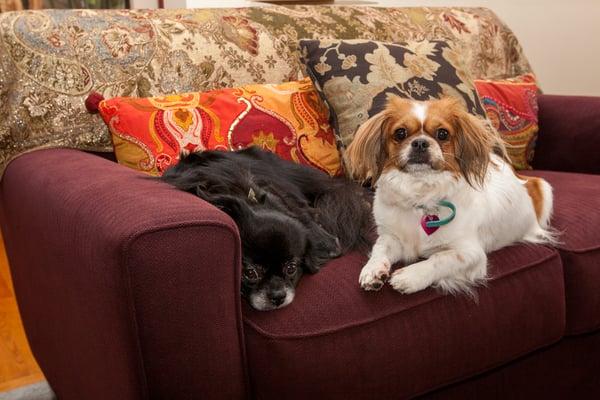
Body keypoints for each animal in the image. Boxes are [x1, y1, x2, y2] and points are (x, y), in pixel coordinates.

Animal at [344, 96, 556, 294]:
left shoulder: (471, 253)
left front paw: (410, 276)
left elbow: (439, 258)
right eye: (400, 133)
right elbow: (380, 247)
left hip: (544, 188)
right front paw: (372, 270)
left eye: (442, 134)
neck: (420, 194)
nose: (420, 143)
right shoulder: (392, 237)